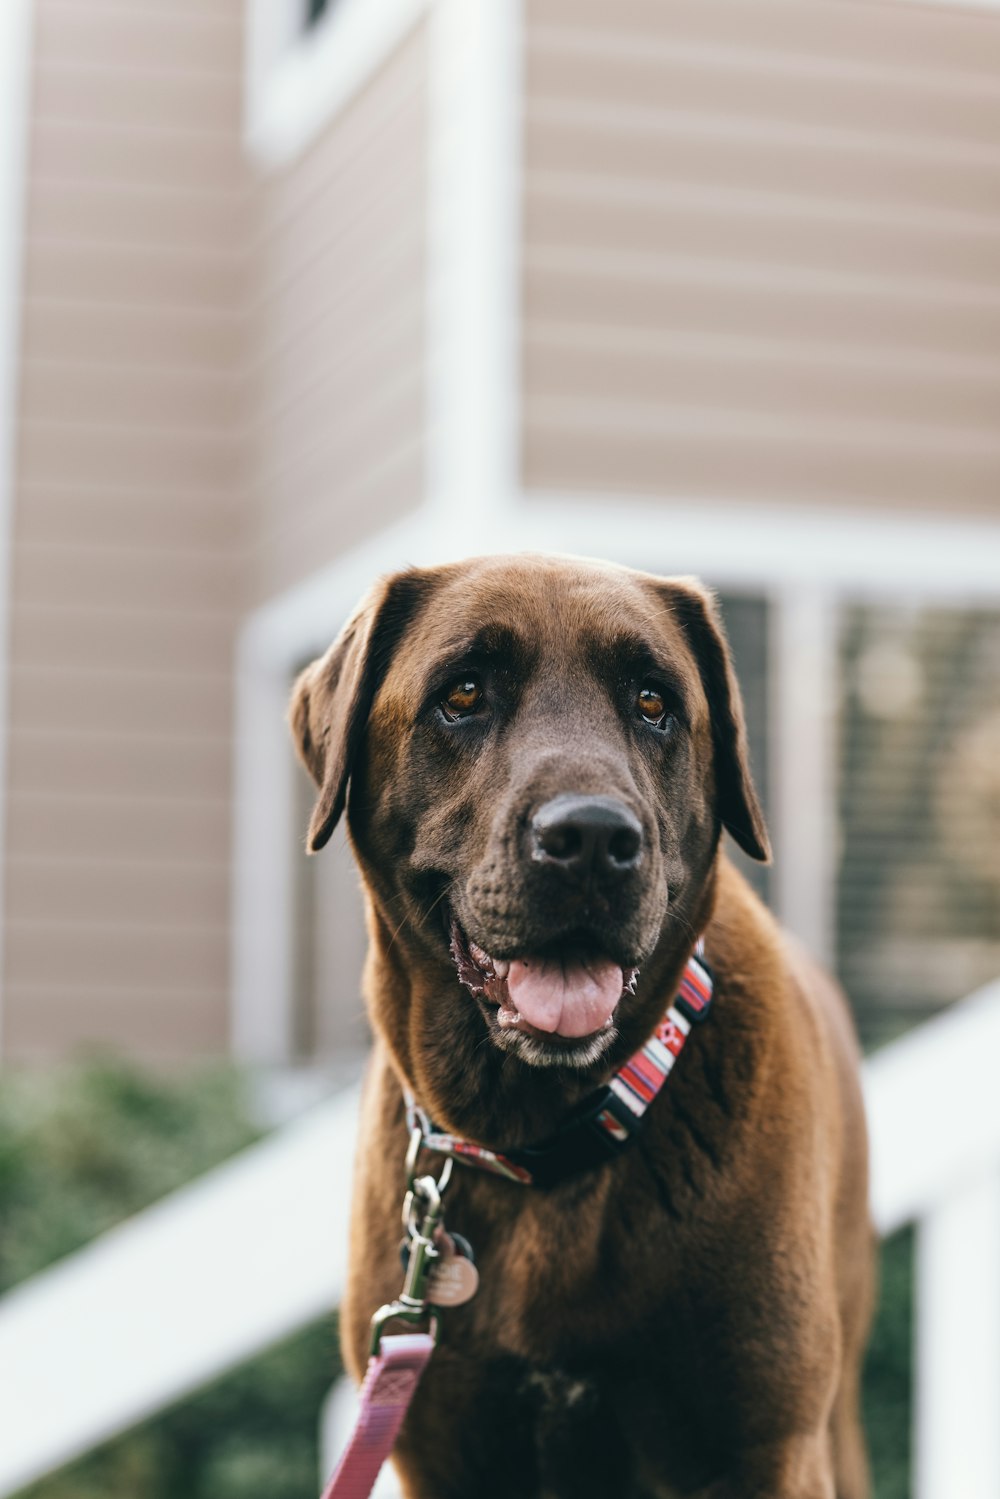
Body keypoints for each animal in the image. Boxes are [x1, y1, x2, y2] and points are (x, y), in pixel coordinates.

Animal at [287, 557, 869, 1493]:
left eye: (654, 701)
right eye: (463, 692)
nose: (593, 836)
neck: (538, 1138)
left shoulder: (767, 1446)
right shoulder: (444, 1449)